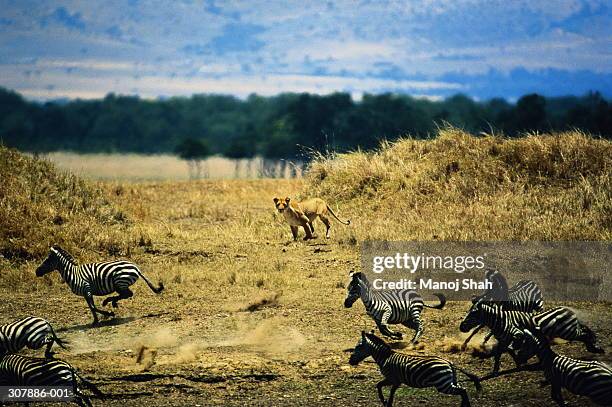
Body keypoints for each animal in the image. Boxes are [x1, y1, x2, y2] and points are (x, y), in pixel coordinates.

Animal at [35, 245, 165, 328]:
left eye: (47, 261)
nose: (36, 272)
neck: (73, 273)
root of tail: (136, 268)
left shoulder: (86, 289)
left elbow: (93, 307)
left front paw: (109, 314)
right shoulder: (85, 293)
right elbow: (91, 307)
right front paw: (95, 321)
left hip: (120, 282)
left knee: (127, 294)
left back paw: (108, 301)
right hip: (120, 284)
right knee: (125, 294)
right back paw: (112, 302)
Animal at [350, 332, 482, 407]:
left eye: (359, 347)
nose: (350, 361)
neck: (385, 357)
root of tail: (449, 363)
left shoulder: (393, 379)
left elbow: (381, 387)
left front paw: (384, 402)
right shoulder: (397, 381)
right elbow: (388, 390)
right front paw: (387, 403)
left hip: (442, 384)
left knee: (463, 391)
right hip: (450, 381)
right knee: (463, 390)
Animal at [460, 302, 604, 376]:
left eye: (473, 314)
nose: (461, 327)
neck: (501, 321)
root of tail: (567, 309)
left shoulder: (516, 335)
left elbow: (507, 350)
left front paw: (519, 361)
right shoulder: (504, 339)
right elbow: (501, 353)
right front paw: (500, 369)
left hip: (567, 331)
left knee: (584, 332)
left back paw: (595, 348)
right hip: (569, 330)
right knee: (584, 329)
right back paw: (594, 347)